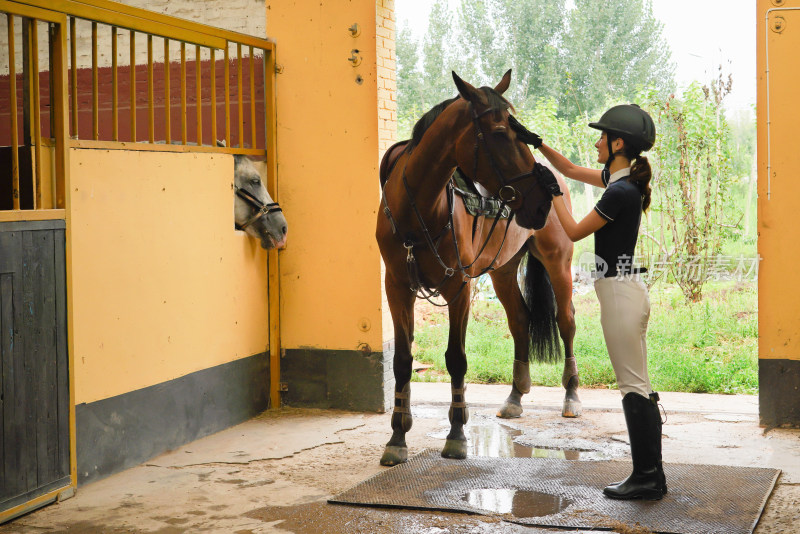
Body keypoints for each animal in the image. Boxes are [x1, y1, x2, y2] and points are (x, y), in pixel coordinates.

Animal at [376, 70, 580, 464]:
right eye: (500, 132)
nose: (542, 200)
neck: (418, 209)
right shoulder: (396, 286)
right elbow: (403, 360)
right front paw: (397, 437)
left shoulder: (459, 287)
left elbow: (456, 358)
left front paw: (456, 434)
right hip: (503, 270)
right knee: (520, 320)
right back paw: (515, 396)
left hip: (557, 261)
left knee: (566, 321)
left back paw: (572, 395)